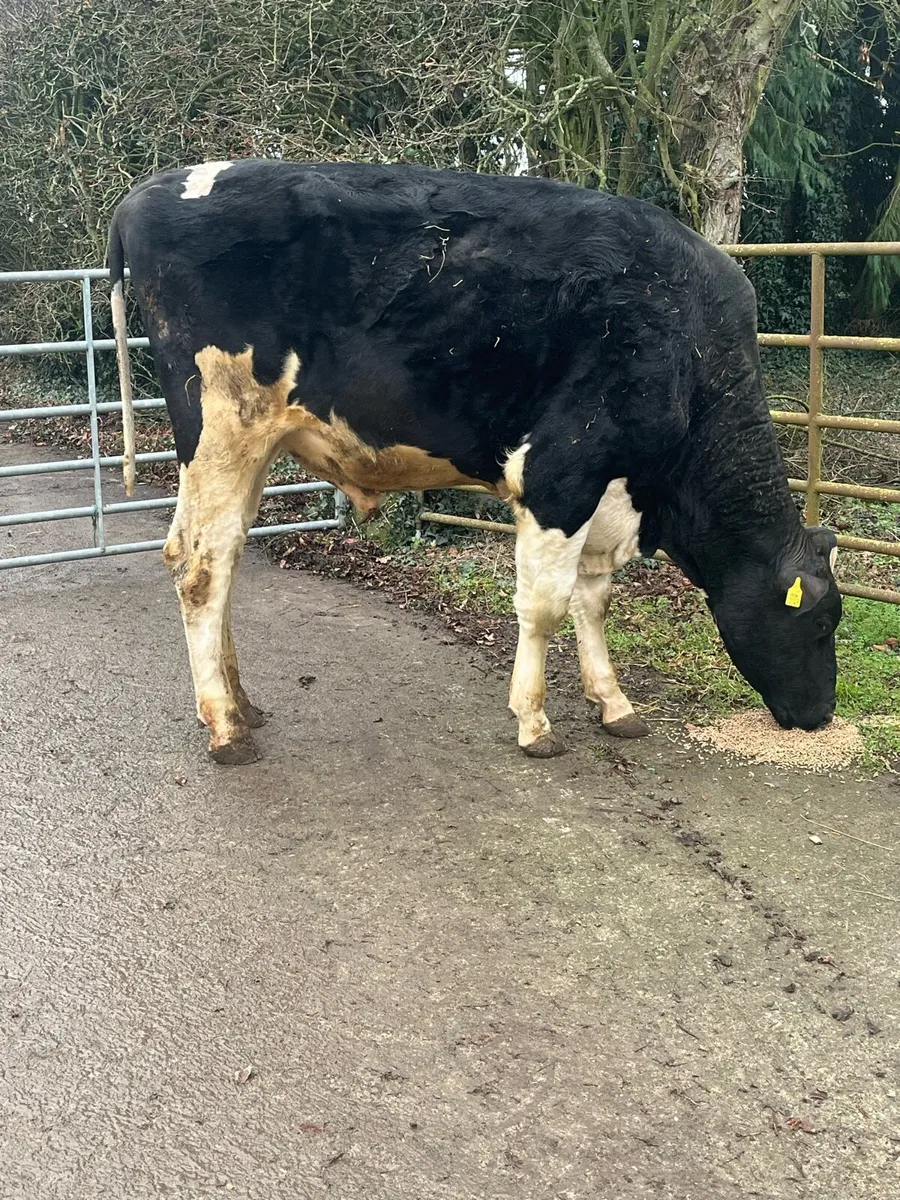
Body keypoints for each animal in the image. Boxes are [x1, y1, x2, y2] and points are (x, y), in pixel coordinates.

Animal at [108, 160, 842, 765]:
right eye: (817, 622)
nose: (821, 716)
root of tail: (145, 193)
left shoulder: (608, 491)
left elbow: (594, 599)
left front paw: (615, 706)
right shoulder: (560, 473)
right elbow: (546, 607)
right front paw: (535, 723)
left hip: (247, 444)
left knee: (217, 556)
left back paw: (242, 705)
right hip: (222, 427)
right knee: (201, 568)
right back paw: (227, 729)